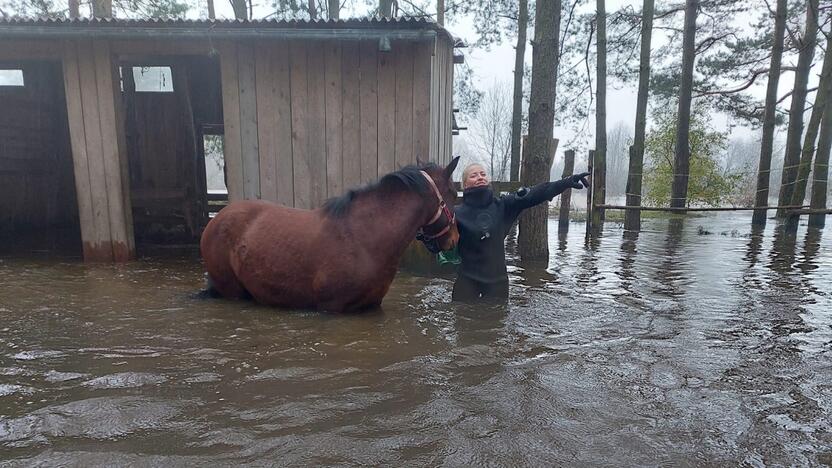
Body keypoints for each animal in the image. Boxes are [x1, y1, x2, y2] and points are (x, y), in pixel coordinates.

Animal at [202, 155, 462, 312]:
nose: (455, 239)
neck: (366, 238)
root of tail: (217, 219)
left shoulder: (372, 306)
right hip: (233, 292)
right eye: (452, 192)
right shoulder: (332, 307)